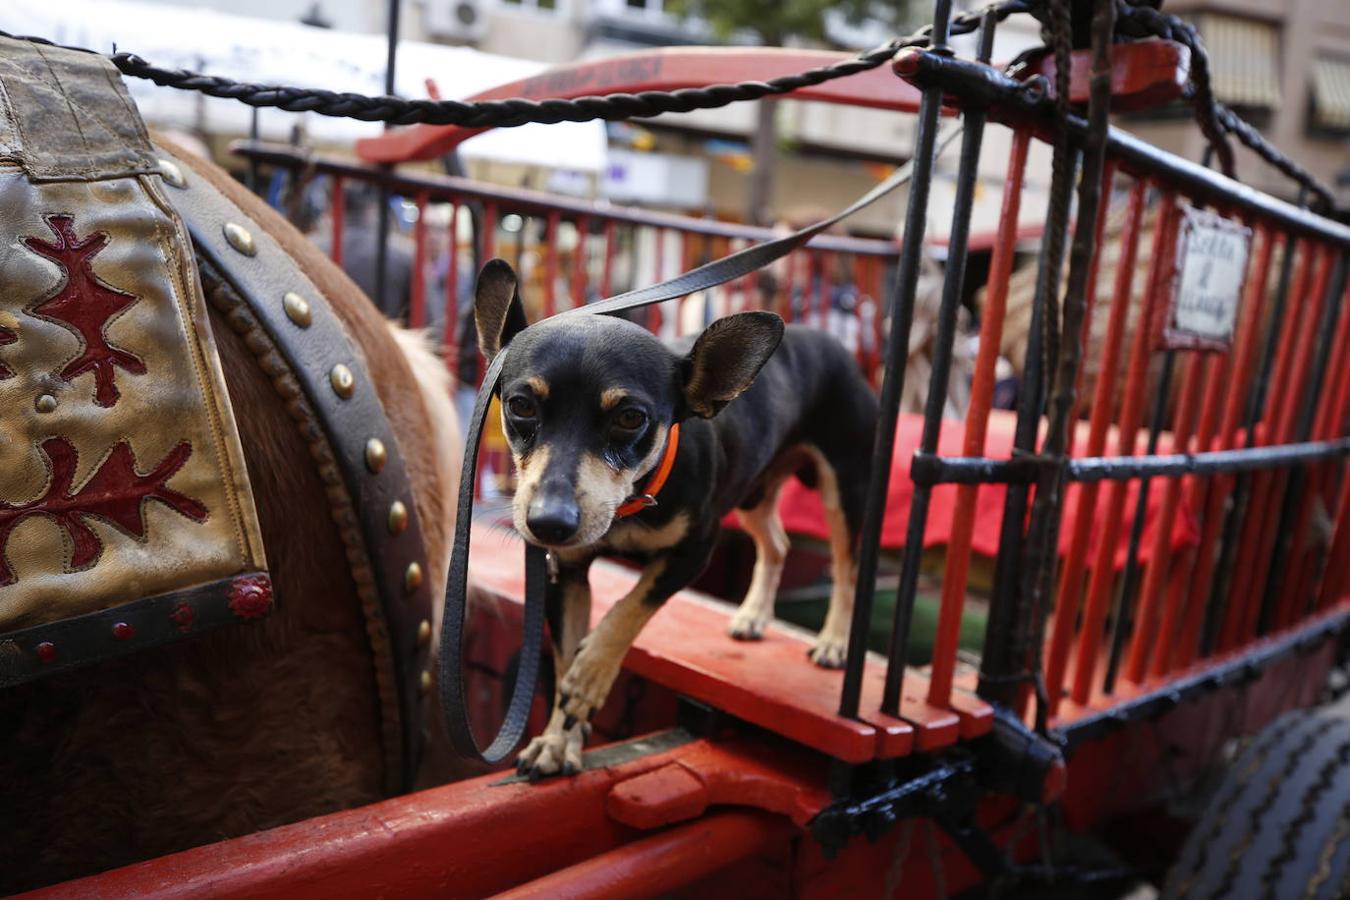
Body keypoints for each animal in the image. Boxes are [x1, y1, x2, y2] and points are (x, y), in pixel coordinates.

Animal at [477, 256, 885, 777]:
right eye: (521, 406)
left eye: (631, 418)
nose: (549, 523)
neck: (630, 504)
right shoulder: (565, 573)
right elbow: (566, 653)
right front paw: (557, 739)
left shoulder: (694, 552)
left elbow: (628, 608)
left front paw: (591, 677)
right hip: (753, 495)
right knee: (777, 544)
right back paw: (753, 615)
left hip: (845, 488)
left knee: (848, 568)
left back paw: (833, 641)